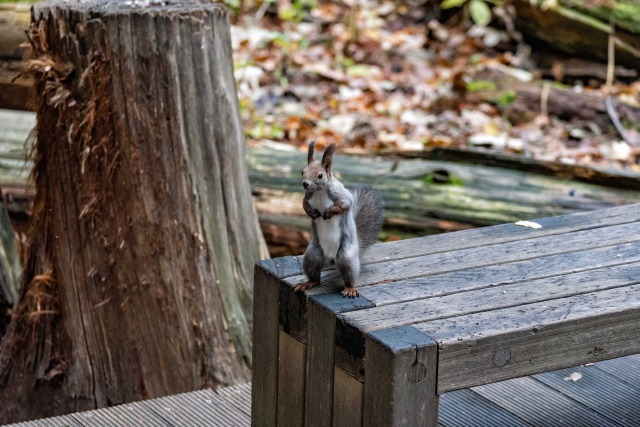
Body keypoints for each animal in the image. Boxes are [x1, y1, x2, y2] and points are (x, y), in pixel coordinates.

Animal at [292, 143, 382, 298]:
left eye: (320, 175)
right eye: (303, 172)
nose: (305, 184)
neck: (319, 191)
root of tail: (331, 259)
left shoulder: (343, 196)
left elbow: (345, 205)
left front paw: (329, 212)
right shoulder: (307, 196)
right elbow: (304, 205)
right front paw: (311, 212)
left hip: (346, 258)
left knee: (348, 275)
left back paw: (350, 289)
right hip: (312, 256)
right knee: (315, 277)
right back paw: (308, 283)